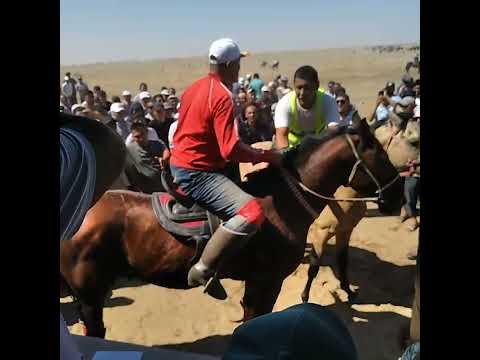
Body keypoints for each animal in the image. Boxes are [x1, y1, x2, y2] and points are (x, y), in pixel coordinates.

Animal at [62, 119, 404, 338]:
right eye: (381, 156)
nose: (398, 197)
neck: (282, 202)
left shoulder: (258, 284)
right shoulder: (267, 282)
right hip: (90, 295)